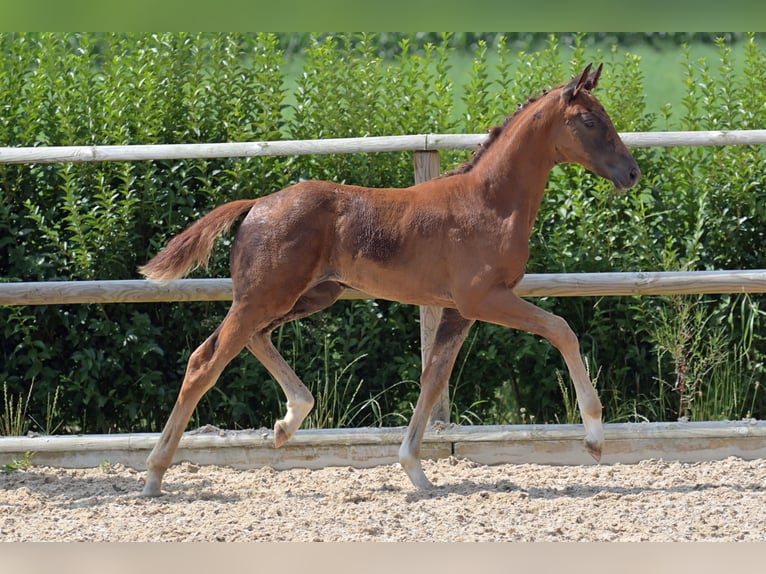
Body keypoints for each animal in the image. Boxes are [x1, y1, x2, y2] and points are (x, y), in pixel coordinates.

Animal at [138, 62, 640, 496]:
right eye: (589, 120)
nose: (631, 172)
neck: (488, 203)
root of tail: (258, 204)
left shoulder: (458, 311)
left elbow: (433, 378)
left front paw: (415, 469)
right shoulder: (484, 299)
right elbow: (562, 330)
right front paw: (595, 437)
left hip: (307, 296)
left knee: (253, 340)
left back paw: (287, 421)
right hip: (265, 297)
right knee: (205, 362)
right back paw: (155, 475)